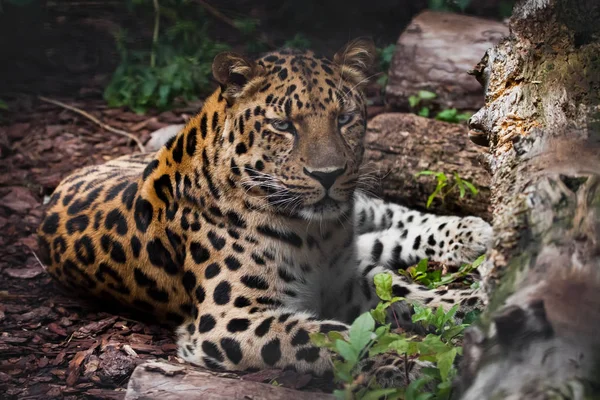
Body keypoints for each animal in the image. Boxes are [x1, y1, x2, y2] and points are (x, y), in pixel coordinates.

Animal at [39, 39, 494, 382]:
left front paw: (471, 303)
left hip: (359, 204)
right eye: (283, 125)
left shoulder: (344, 278)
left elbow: (409, 293)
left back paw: (472, 234)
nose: (328, 175)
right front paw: (402, 366)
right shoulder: (228, 320)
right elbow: (329, 337)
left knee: (391, 220)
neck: (315, 235)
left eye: (345, 118)